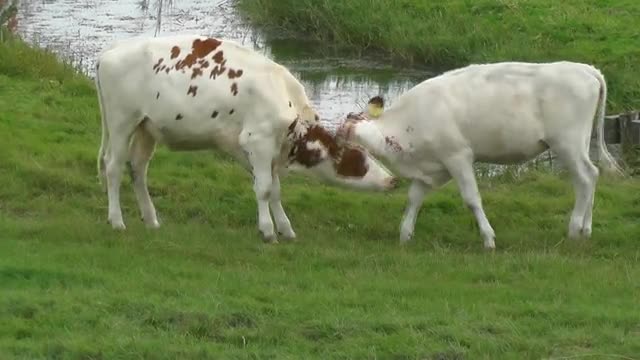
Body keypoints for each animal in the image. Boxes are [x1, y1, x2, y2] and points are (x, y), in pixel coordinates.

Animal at [94, 34, 396, 242]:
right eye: (359, 160)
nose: (392, 180)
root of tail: (109, 52)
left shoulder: (266, 152)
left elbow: (274, 189)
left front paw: (285, 229)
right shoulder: (257, 142)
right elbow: (264, 189)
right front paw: (268, 231)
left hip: (146, 128)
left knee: (137, 168)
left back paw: (151, 219)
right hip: (122, 121)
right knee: (113, 167)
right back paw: (117, 220)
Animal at [340, 60, 624, 249]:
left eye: (345, 141)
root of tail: (586, 69)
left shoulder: (458, 156)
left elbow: (471, 198)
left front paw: (488, 239)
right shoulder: (434, 167)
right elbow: (414, 199)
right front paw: (405, 235)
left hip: (567, 142)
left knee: (585, 178)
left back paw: (574, 229)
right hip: (581, 142)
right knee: (591, 176)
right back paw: (586, 228)